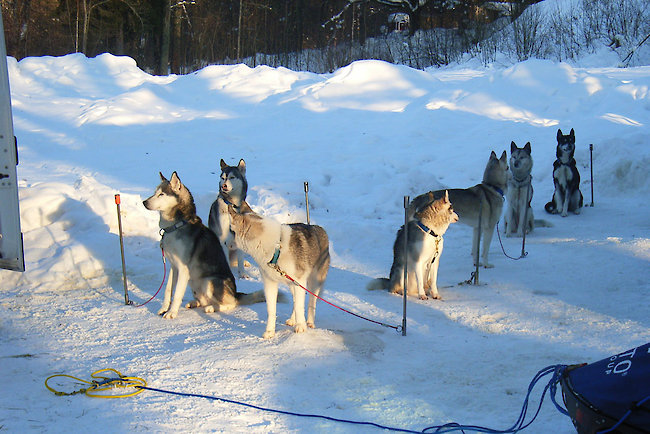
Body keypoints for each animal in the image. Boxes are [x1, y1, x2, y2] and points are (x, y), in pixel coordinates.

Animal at [143, 172, 262, 318]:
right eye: (155, 193)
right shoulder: (173, 267)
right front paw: (164, 308)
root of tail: (235, 293)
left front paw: (171, 313)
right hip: (194, 282)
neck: (177, 226)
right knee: (204, 300)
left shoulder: (183, 268)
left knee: (231, 303)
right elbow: (168, 290)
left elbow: (177, 294)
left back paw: (211, 308)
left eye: (161, 194)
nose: (144, 202)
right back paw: (195, 303)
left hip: (208, 281)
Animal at [227, 205, 330, 340]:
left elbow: (300, 306)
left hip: (314, 282)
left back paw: (309, 322)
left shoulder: (299, 281)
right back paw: (293, 319)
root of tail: (319, 229)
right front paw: (270, 331)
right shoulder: (270, 284)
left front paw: (301, 327)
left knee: (311, 302)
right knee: (296, 301)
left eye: (231, 230)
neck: (276, 248)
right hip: (292, 284)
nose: (223, 243)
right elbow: (272, 309)